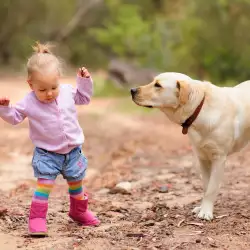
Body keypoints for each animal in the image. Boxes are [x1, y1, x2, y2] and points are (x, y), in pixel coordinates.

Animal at [131, 72, 250, 221]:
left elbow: (211, 188)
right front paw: (202, 207)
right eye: (153, 82)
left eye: (158, 85)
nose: (132, 90)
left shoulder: (219, 158)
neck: (200, 109)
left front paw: (206, 212)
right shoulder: (203, 157)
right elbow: (206, 186)